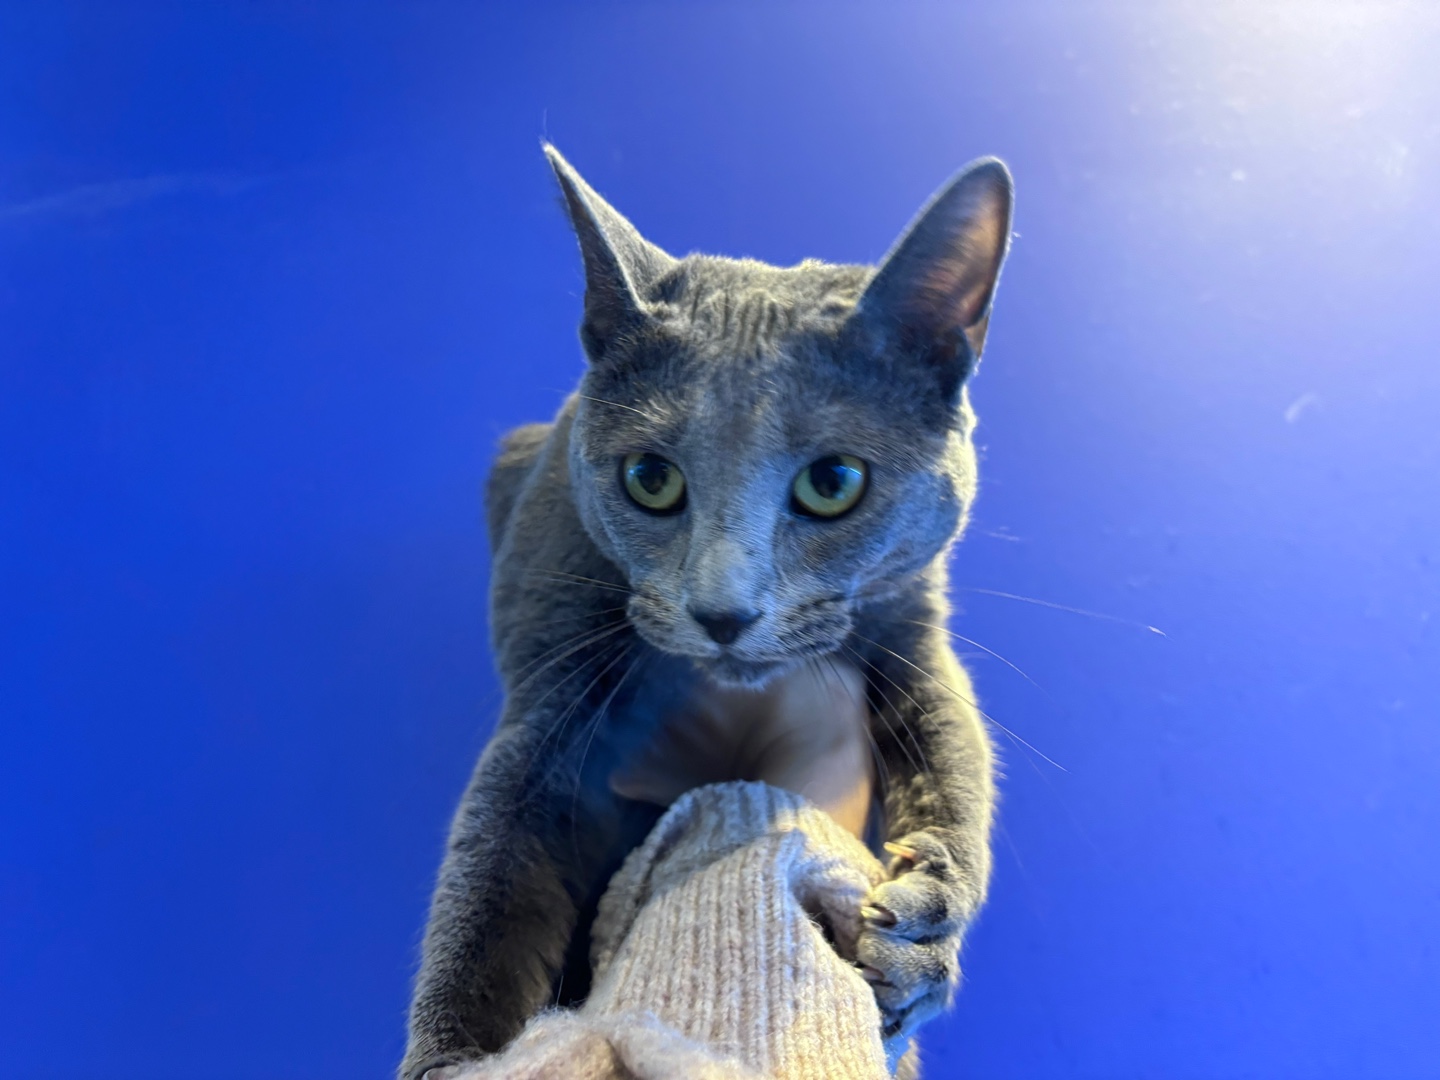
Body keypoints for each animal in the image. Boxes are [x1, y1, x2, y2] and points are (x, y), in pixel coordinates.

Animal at [400, 144, 1013, 1080]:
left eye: (834, 482)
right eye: (649, 478)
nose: (723, 612)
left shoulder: (910, 625)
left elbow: (954, 755)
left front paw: (923, 921)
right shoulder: (553, 696)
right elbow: (492, 875)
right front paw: (457, 1058)